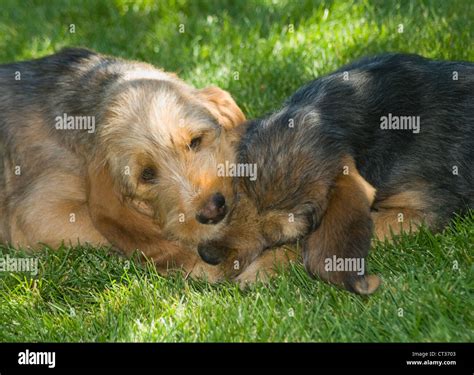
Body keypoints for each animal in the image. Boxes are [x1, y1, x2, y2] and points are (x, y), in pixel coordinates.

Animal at [197, 53, 474, 294]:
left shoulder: (423, 212)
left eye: (276, 236)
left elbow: (308, 244)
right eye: (235, 197)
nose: (207, 256)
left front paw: (262, 268)